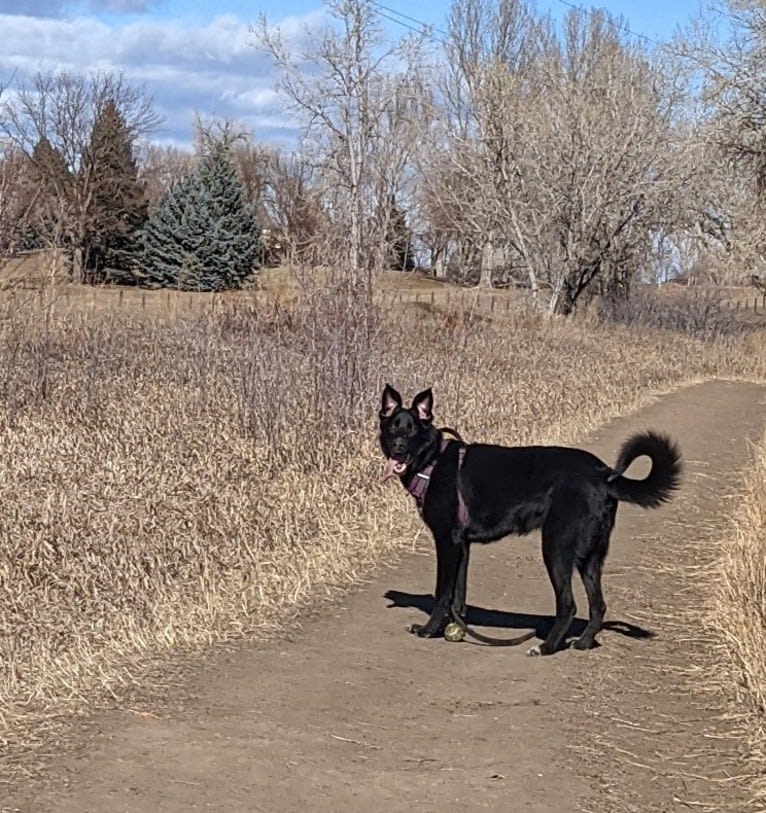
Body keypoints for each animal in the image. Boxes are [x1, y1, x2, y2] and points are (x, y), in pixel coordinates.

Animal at [380, 384, 684, 656]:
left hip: (556, 547)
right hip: (590, 556)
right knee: (598, 605)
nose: (398, 449)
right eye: (393, 428)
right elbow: (459, 595)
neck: (431, 460)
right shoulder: (462, 546)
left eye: (412, 430)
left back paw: (547, 647)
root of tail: (605, 475)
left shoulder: (447, 542)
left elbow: (443, 593)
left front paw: (429, 630)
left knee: (568, 605)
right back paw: (583, 643)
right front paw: (454, 628)